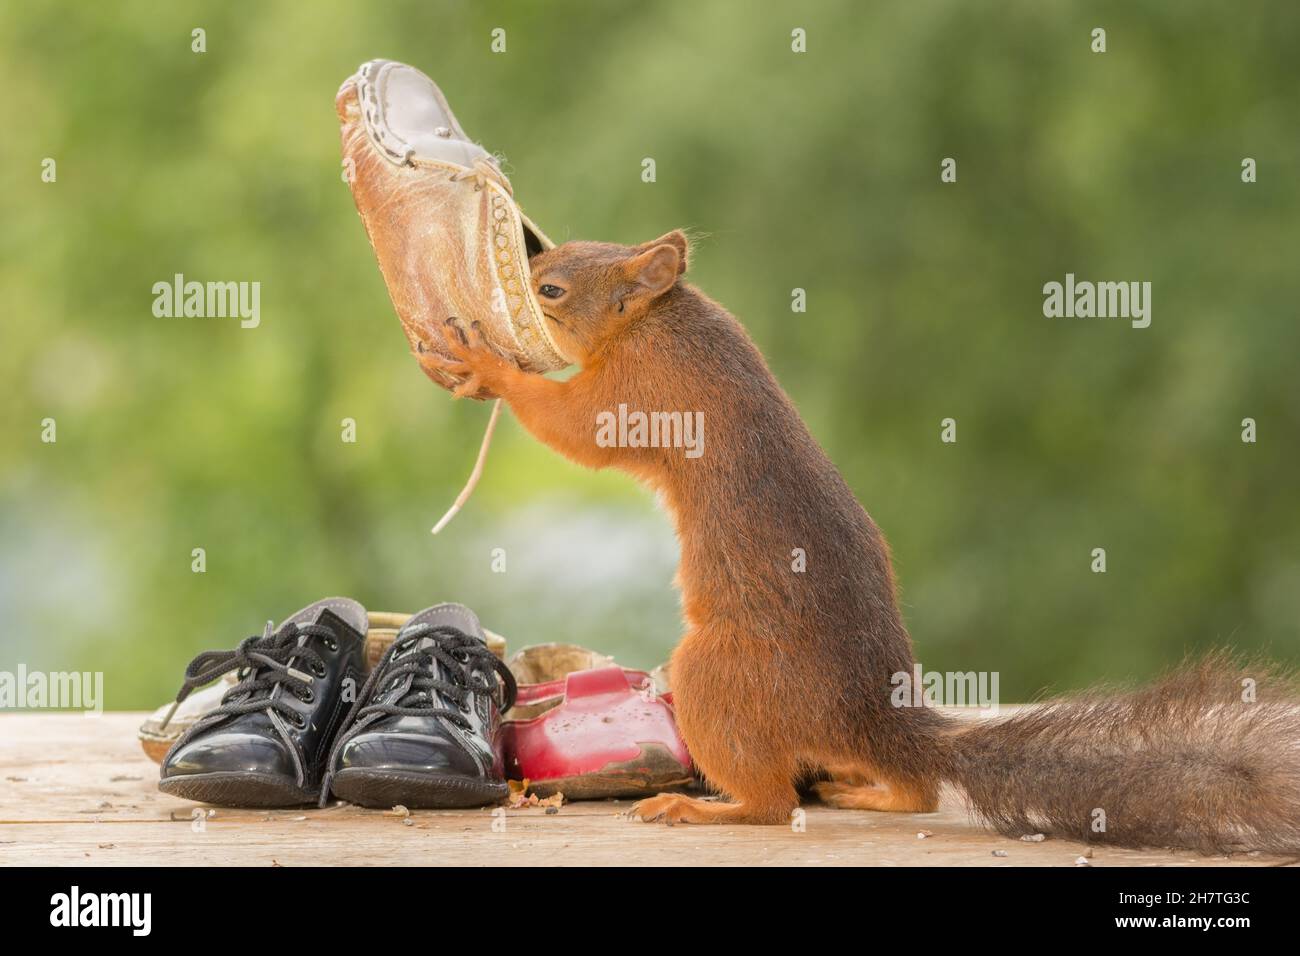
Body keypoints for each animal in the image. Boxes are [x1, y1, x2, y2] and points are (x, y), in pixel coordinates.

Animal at [419, 230, 1300, 852]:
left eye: (552, 288)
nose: (497, 294)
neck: (663, 319)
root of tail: (870, 716)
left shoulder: (645, 392)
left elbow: (574, 427)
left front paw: (487, 364)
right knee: (913, 788)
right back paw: (867, 790)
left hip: (715, 674)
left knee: (773, 805)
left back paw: (701, 809)